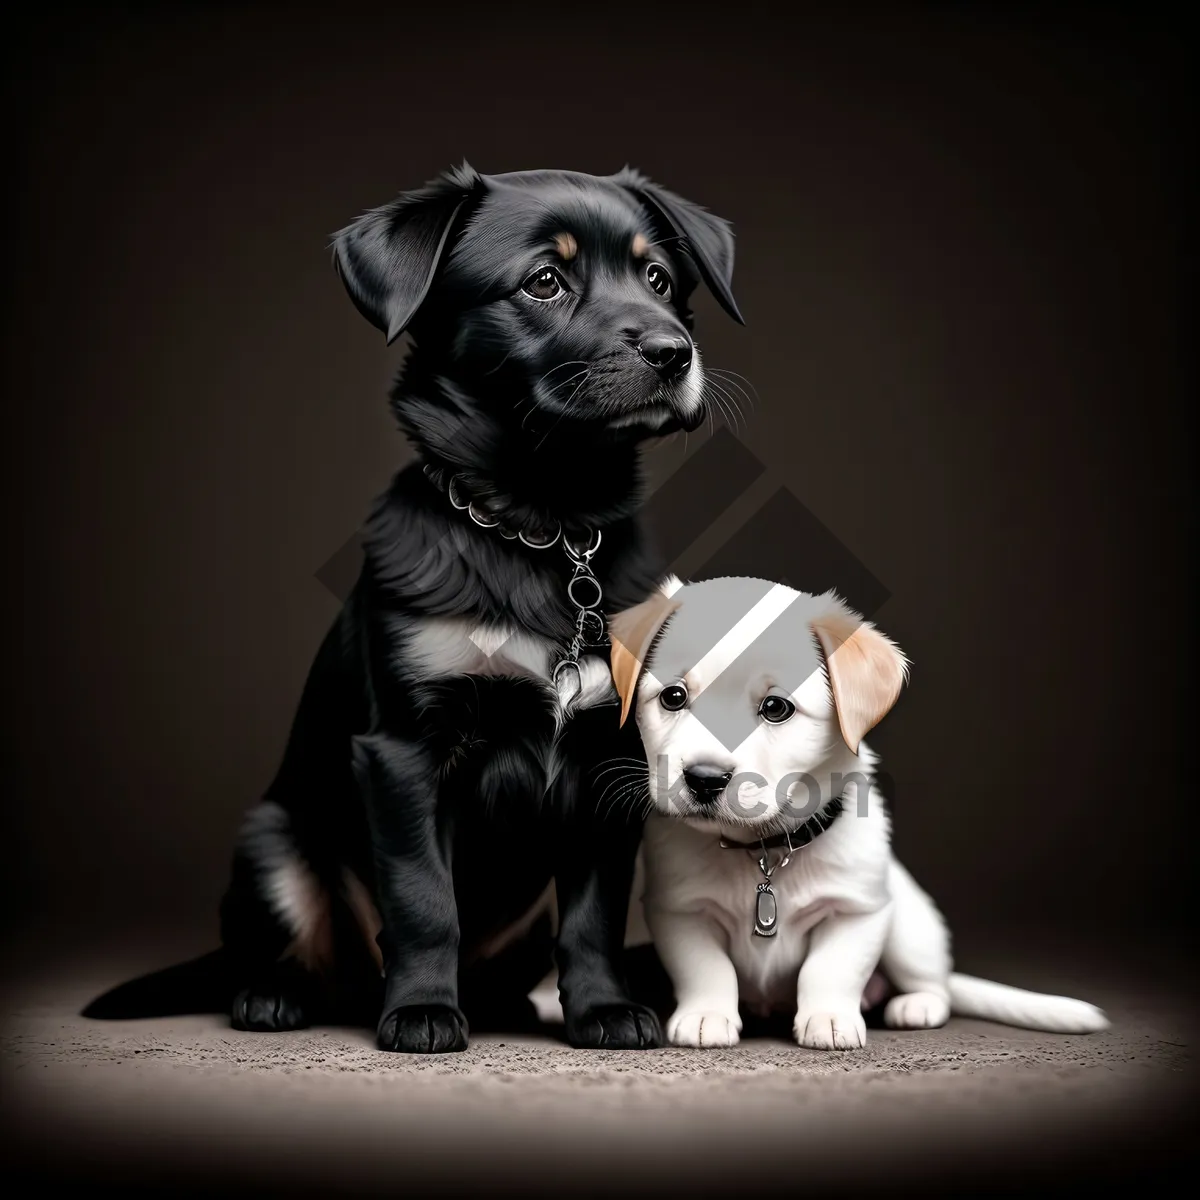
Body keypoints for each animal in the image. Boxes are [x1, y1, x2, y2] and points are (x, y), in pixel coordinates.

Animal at [82, 166, 739, 1051]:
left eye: (661, 280)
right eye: (544, 281)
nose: (673, 352)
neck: (544, 526)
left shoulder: (607, 759)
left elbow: (594, 912)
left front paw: (603, 1008)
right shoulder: (403, 751)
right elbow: (425, 900)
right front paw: (424, 1010)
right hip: (272, 847)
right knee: (291, 951)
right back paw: (277, 997)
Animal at [614, 576, 1108, 1046]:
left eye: (775, 707)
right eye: (673, 697)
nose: (703, 778)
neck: (762, 849)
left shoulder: (856, 911)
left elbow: (830, 970)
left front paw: (828, 1018)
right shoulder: (681, 913)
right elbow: (706, 969)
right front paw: (706, 1015)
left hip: (908, 928)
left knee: (937, 987)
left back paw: (917, 1004)